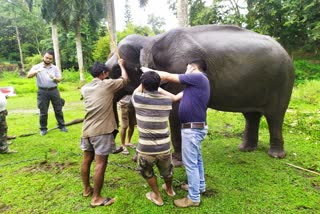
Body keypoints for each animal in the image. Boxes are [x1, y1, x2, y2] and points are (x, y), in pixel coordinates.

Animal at [107, 24, 296, 162]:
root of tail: (286, 52)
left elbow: (176, 111)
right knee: (251, 115)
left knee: (275, 116)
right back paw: (246, 149)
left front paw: (176, 161)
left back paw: (276, 155)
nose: (118, 150)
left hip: (282, 82)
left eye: (117, 69)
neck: (150, 39)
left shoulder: (180, 67)